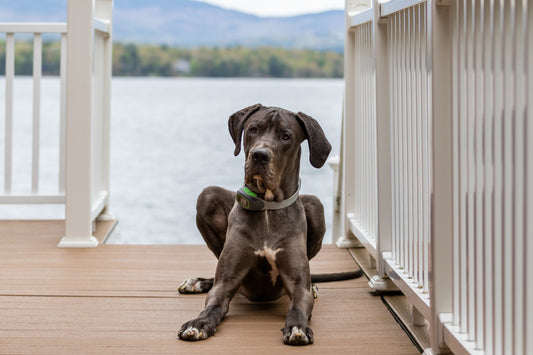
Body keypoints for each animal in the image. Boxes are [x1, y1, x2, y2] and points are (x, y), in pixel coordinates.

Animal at [177, 104, 360, 346]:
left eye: (286, 137)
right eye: (253, 129)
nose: (260, 155)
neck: (266, 208)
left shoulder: (297, 284)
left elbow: (298, 305)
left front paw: (297, 327)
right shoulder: (227, 281)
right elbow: (214, 302)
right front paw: (199, 323)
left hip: (316, 206)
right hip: (206, 197)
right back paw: (197, 282)